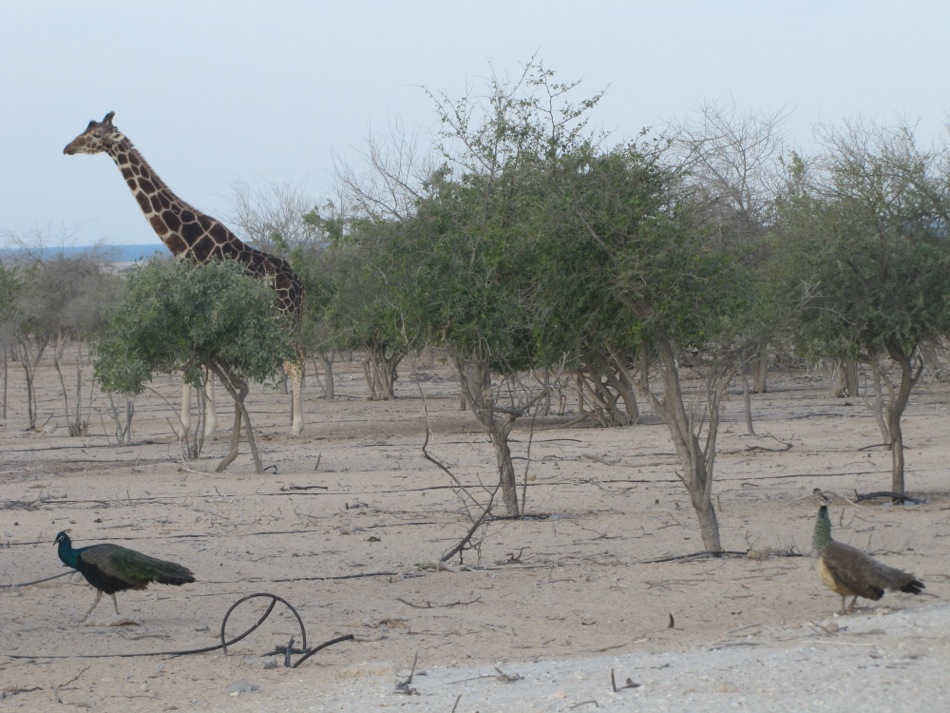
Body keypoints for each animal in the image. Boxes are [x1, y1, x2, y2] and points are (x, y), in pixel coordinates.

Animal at [65, 111, 305, 436]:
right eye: (87, 128)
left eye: (97, 134)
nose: (68, 147)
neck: (187, 245)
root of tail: (300, 285)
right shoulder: (201, 312)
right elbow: (203, 364)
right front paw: (206, 427)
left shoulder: (206, 309)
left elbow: (196, 363)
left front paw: (188, 427)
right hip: (291, 319)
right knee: (300, 359)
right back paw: (295, 420)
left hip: (282, 318)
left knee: (294, 361)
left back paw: (297, 426)